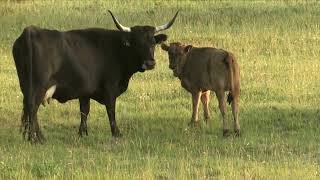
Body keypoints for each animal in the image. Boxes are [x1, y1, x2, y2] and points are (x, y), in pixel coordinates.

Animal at [12, 10, 180, 143]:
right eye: (136, 43)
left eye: (153, 42)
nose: (150, 63)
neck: (117, 49)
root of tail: (30, 31)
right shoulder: (110, 88)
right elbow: (111, 110)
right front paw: (116, 133)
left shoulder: (84, 91)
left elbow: (84, 111)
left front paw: (82, 133)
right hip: (38, 86)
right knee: (32, 107)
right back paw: (35, 138)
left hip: (26, 85)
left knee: (28, 108)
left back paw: (34, 137)